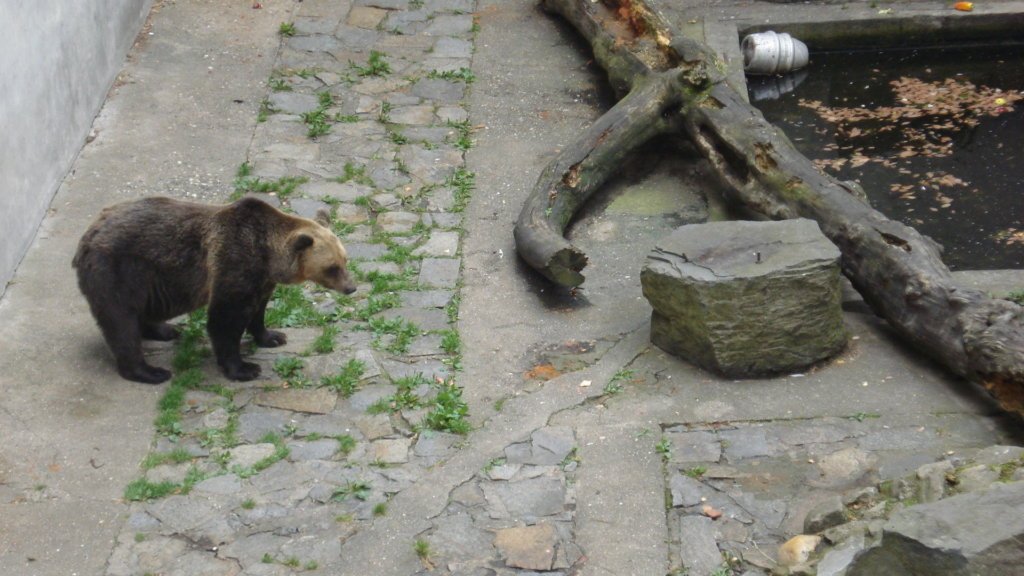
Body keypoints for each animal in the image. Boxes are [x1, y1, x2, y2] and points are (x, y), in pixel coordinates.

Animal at [72, 196, 356, 384]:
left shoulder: (261, 280)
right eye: (332, 267)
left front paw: (272, 336)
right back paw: (150, 371)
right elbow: (225, 319)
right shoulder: (233, 261)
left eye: (345, 259)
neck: (268, 256)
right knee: (121, 320)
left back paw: (165, 330)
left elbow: (258, 311)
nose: (351, 287)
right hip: (120, 269)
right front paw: (244, 368)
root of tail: (87, 236)